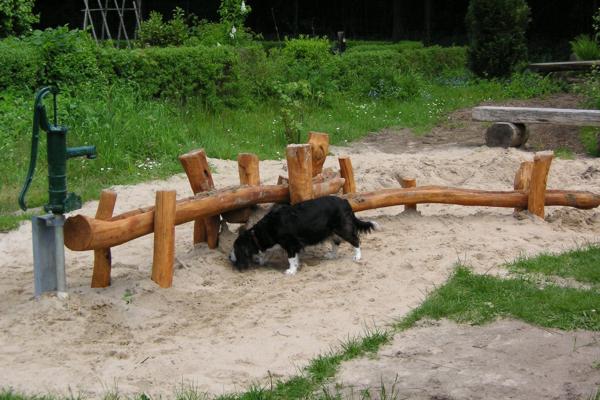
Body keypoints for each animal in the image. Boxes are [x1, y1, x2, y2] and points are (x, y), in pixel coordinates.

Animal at [230, 196, 380, 276]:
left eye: (235, 249)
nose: (229, 257)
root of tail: (345, 201)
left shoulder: (291, 243)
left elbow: (291, 258)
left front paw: (291, 271)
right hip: (331, 231)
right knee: (335, 243)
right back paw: (332, 255)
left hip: (342, 228)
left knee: (356, 240)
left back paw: (357, 256)